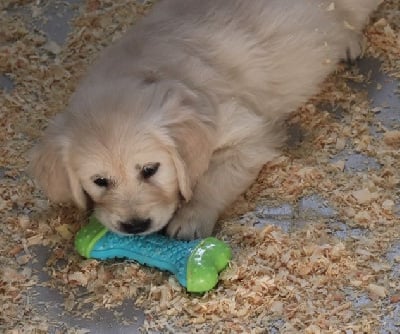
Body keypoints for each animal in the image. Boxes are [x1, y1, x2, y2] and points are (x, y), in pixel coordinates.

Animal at [28, 0, 382, 240]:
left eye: (150, 169)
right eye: (99, 181)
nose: (135, 225)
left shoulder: (251, 135)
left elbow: (214, 178)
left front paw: (192, 217)